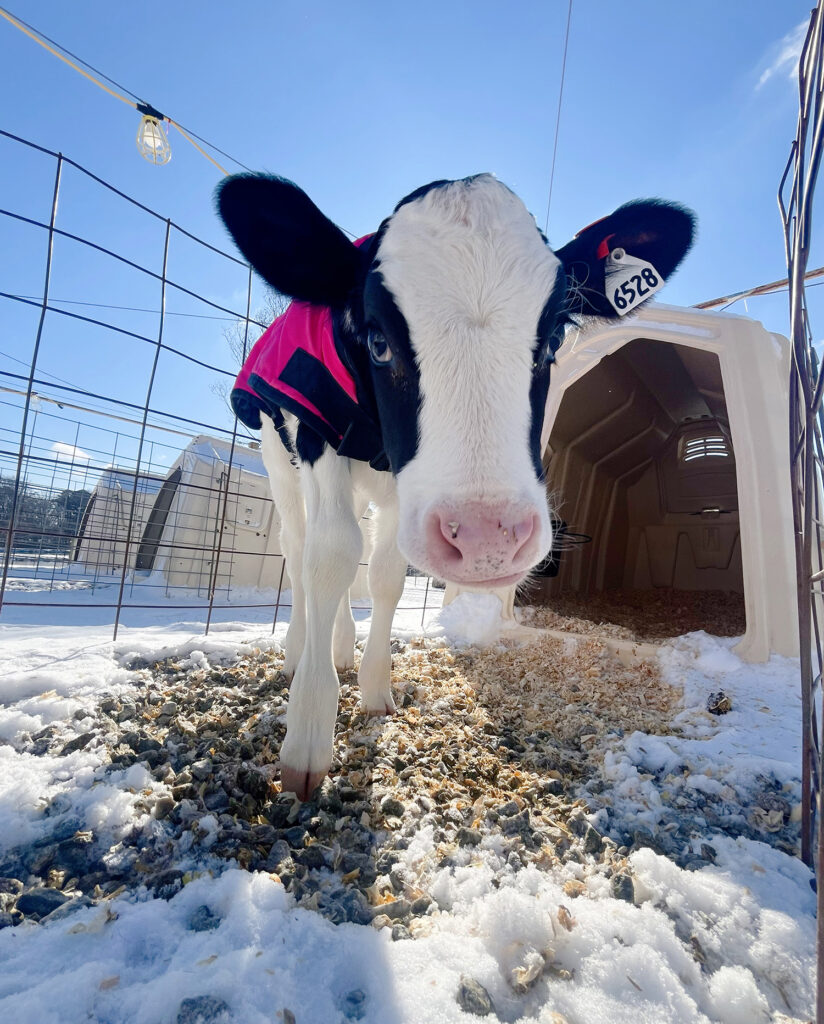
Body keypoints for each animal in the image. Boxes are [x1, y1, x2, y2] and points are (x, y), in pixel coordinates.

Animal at [214, 174, 691, 798]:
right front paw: (309, 734)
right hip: (278, 451)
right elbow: (329, 556)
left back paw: (340, 647)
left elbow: (385, 573)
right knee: (301, 549)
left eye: (555, 336)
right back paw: (299, 651)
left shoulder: (403, 491)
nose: (489, 537)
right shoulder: (315, 433)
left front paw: (374, 691)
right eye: (378, 341)